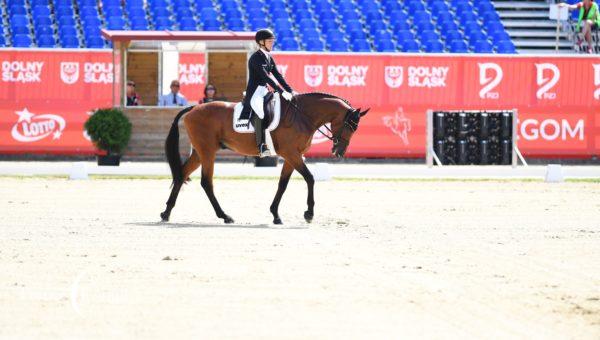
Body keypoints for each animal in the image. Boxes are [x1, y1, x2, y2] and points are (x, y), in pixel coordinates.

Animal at [161, 93, 366, 226]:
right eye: (350, 126)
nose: (339, 151)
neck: (302, 115)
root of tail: (194, 107)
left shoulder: (292, 156)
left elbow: (283, 184)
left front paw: (275, 214)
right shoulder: (292, 154)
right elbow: (310, 178)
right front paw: (309, 213)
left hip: (199, 152)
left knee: (181, 175)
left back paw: (166, 213)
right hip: (207, 151)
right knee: (206, 182)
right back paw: (225, 216)